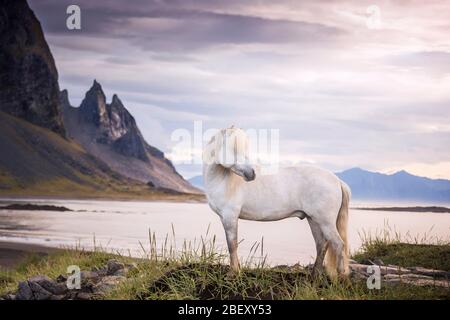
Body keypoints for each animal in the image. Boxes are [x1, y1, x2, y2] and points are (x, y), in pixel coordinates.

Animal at [203, 127, 352, 278]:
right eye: (233, 149)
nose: (252, 173)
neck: (223, 180)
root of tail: (337, 180)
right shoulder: (226, 217)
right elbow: (232, 244)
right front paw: (237, 270)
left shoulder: (230, 217)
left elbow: (232, 245)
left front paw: (232, 273)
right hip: (313, 219)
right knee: (321, 245)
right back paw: (314, 275)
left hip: (325, 222)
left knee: (338, 245)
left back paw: (341, 277)